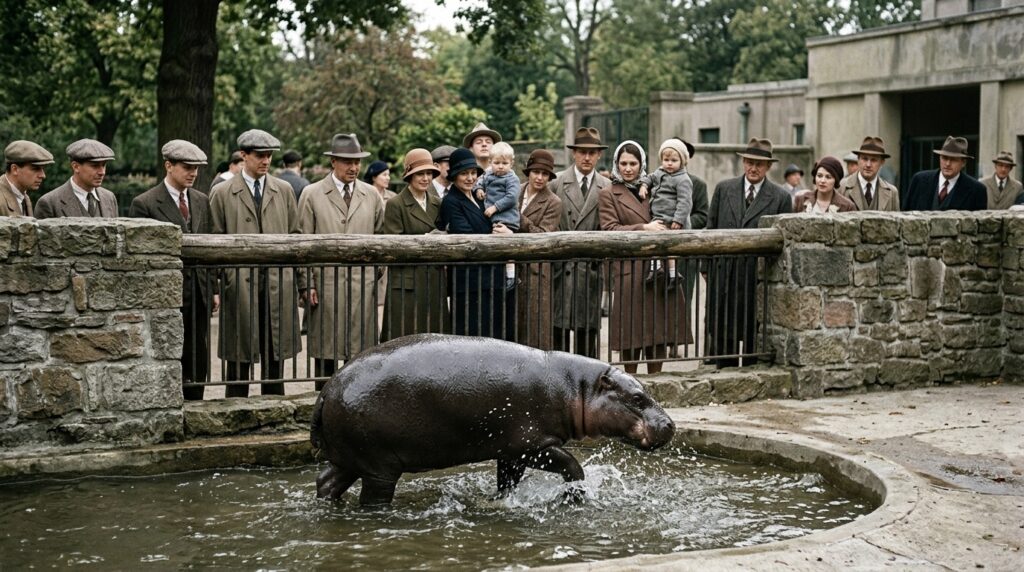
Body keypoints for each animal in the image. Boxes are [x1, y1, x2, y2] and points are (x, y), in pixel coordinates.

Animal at [310, 333, 675, 505]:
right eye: (638, 398)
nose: (670, 424)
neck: (577, 387)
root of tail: (327, 389)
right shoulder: (533, 445)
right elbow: (572, 465)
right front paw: (574, 497)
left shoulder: (510, 450)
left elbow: (507, 480)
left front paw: (499, 502)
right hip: (380, 467)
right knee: (372, 498)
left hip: (352, 458)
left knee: (326, 481)